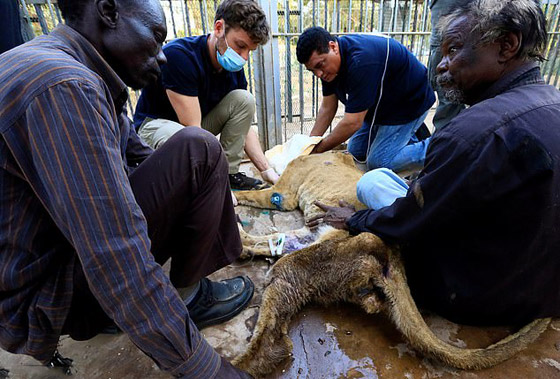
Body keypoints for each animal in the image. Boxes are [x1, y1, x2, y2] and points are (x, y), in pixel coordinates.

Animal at [232, 150, 552, 378]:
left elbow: (254, 194)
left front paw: (234, 195)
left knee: (273, 330)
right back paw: (241, 244)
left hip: (302, 264)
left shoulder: (283, 193)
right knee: (271, 244)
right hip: (309, 246)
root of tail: (395, 260)